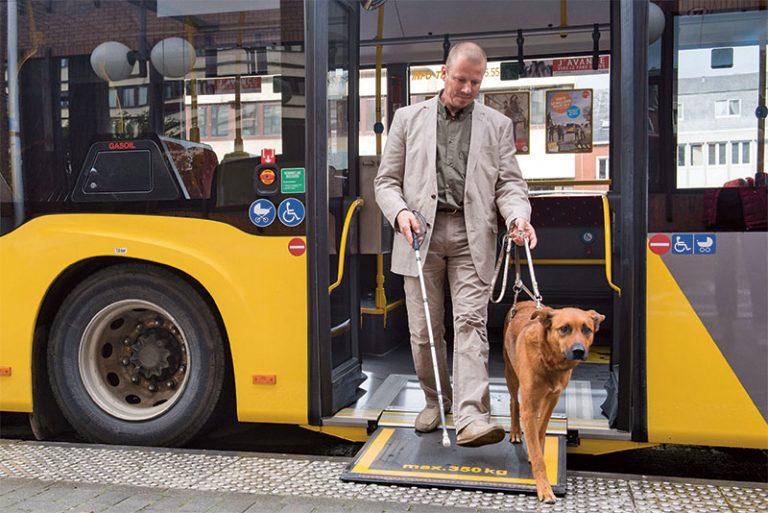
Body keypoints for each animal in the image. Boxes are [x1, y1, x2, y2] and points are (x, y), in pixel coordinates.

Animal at [504, 298, 608, 502]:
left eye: (587, 329)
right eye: (564, 328)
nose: (578, 351)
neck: (551, 362)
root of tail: (522, 301)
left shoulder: (552, 398)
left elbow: (540, 430)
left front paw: (536, 443)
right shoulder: (529, 406)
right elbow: (538, 457)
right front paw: (544, 489)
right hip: (511, 375)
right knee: (514, 403)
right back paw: (515, 431)